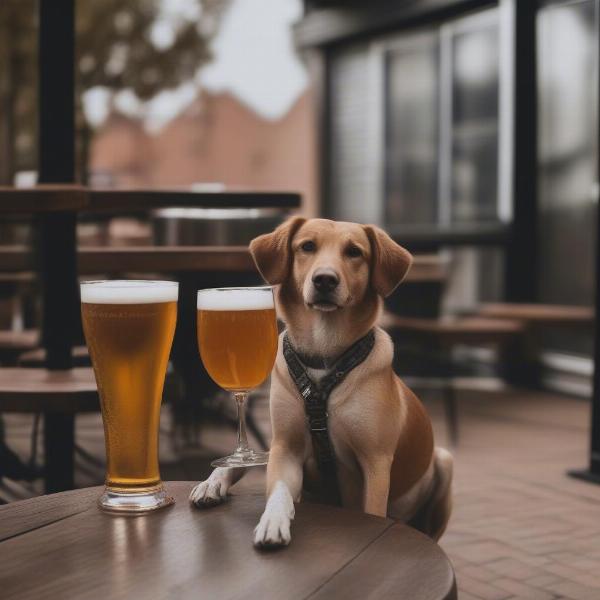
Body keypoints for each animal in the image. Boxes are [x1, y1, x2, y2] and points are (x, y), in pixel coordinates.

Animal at [190, 218, 452, 548]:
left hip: (444, 460)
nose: (325, 280)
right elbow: (278, 492)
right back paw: (212, 483)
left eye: (354, 252)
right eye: (307, 246)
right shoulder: (285, 449)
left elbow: (373, 510)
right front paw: (272, 521)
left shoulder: (376, 464)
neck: (323, 356)